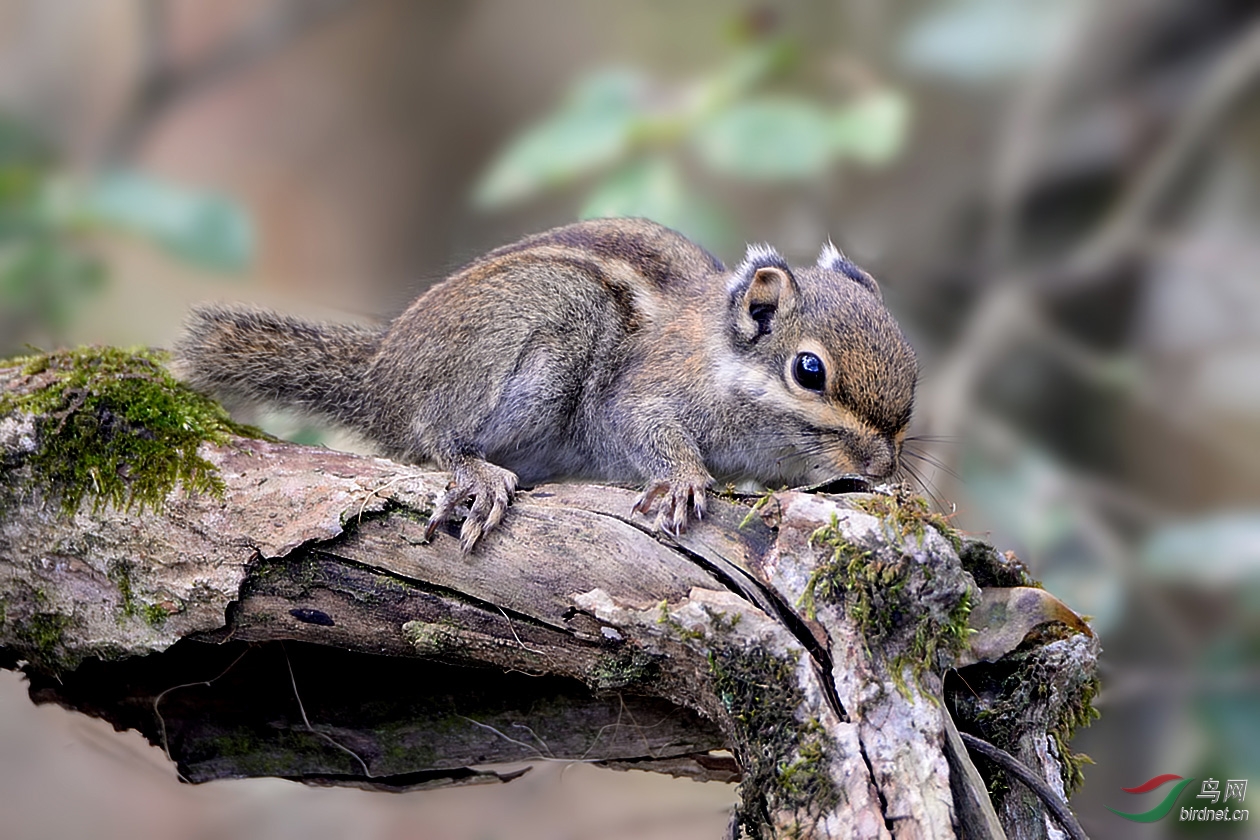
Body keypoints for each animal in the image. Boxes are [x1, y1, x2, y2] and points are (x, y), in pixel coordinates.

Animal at [175, 216, 917, 551]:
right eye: (809, 371)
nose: (885, 465)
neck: (716, 356)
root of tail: (381, 375)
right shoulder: (635, 395)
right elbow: (642, 427)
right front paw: (682, 479)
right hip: (538, 332)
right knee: (429, 434)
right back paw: (475, 471)